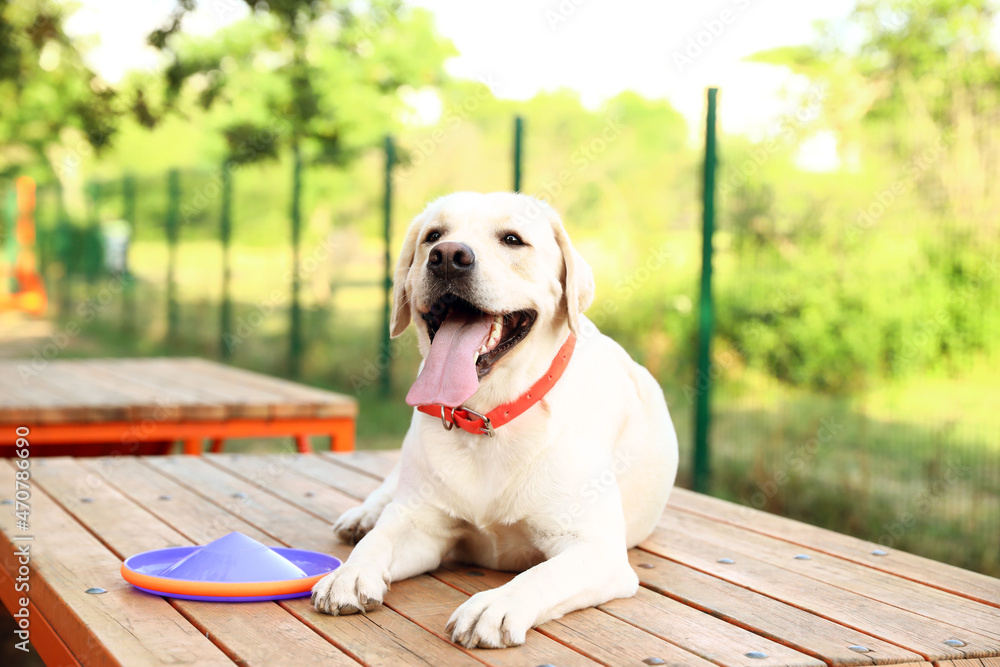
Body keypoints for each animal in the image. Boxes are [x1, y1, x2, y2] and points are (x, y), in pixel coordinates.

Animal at [312, 192, 680, 648]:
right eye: (433, 236)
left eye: (512, 239)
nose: (448, 257)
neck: (486, 416)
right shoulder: (421, 524)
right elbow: (381, 539)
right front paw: (349, 573)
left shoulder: (595, 550)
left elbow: (540, 575)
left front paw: (494, 605)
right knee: (387, 496)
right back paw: (362, 517)